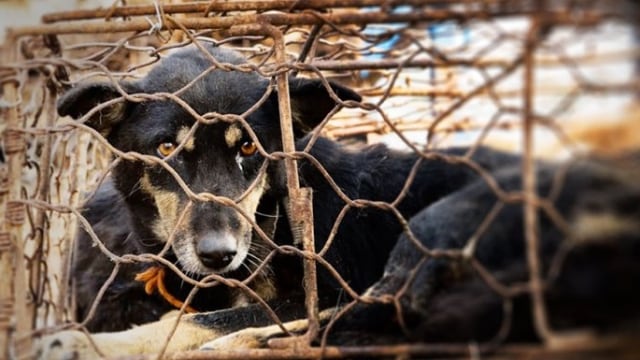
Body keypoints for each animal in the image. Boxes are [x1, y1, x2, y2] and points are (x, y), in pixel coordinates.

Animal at [36, 44, 640, 358]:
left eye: (249, 149)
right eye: (166, 148)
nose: (219, 255)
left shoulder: (320, 286)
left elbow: (200, 321)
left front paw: (88, 345)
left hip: (427, 242)